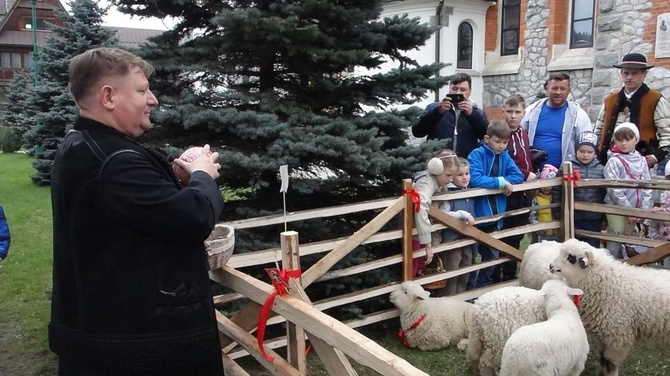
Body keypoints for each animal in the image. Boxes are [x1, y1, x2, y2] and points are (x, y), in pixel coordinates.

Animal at [552, 238, 670, 376]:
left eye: (571, 258)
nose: (550, 266)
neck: (608, 283)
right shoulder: (602, 336)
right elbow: (603, 359)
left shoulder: (617, 337)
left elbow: (610, 364)